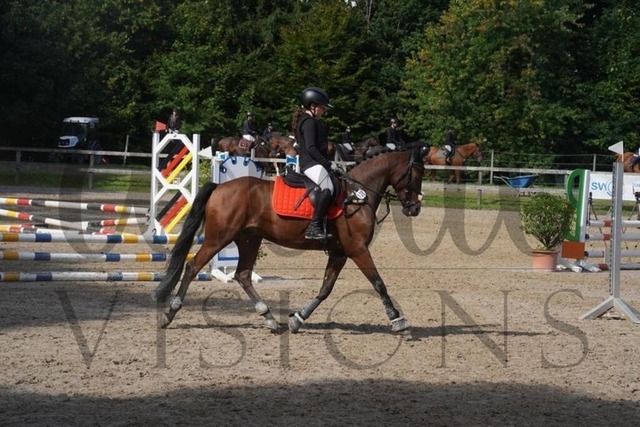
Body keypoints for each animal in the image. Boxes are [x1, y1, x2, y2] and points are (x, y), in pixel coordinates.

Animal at [152, 143, 428, 334]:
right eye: (416, 174)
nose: (414, 209)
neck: (357, 195)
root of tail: (220, 187)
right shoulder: (358, 249)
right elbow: (378, 283)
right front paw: (398, 319)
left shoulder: (339, 253)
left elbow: (325, 289)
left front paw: (297, 319)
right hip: (218, 238)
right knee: (192, 266)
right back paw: (169, 313)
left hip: (249, 240)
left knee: (243, 275)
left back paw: (270, 318)